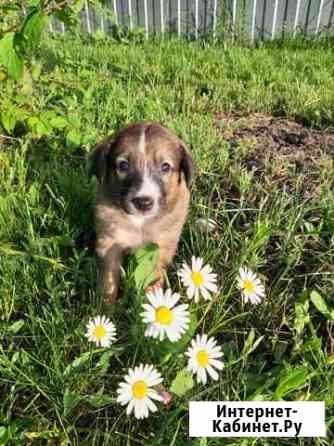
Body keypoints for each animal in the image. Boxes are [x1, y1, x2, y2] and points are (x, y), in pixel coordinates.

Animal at [90, 120, 197, 304]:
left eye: (165, 167)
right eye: (123, 165)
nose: (143, 202)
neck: (140, 222)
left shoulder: (160, 248)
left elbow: (153, 281)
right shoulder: (109, 243)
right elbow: (108, 284)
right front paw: (104, 309)